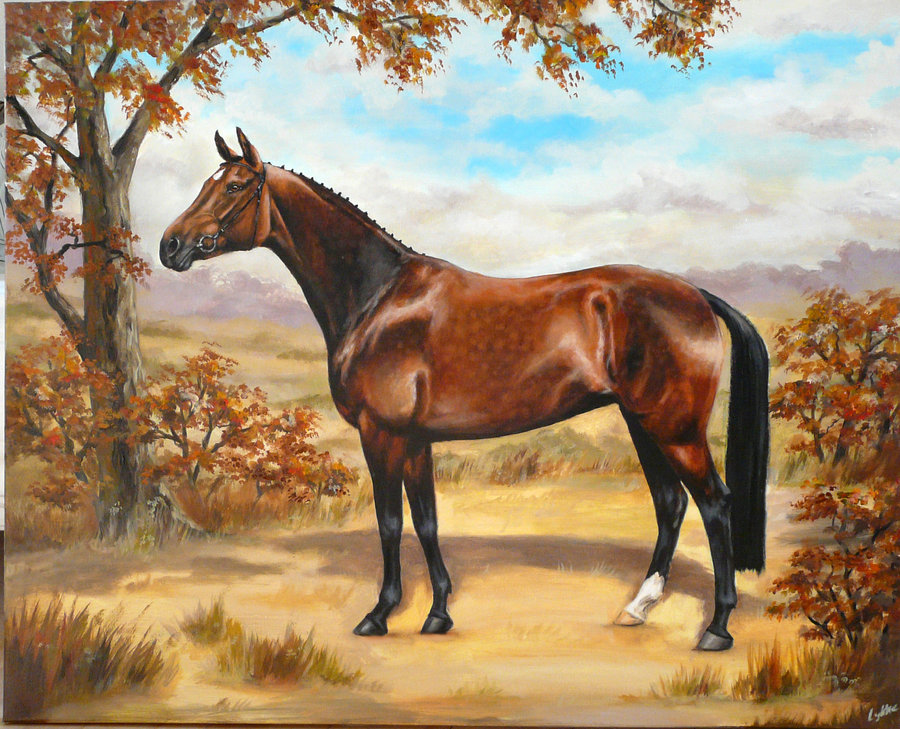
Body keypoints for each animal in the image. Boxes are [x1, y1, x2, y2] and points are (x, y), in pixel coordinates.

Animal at [161, 128, 769, 651]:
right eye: (208, 182)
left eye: (234, 186)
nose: (171, 246)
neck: (379, 298)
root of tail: (696, 295)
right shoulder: (415, 440)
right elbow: (426, 522)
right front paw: (437, 614)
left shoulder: (382, 435)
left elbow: (389, 523)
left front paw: (379, 614)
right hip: (643, 423)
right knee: (671, 504)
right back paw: (637, 608)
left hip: (675, 429)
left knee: (714, 504)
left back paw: (717, 628)